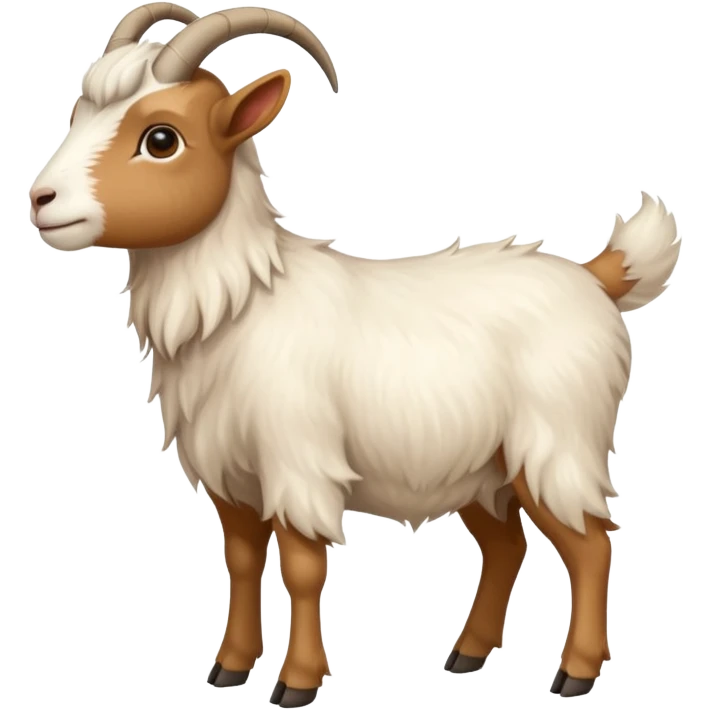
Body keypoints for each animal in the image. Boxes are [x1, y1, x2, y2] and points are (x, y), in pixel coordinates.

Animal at [28, 3, 682, 705]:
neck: (244, 300)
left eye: (160, 139)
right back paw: (467, 654)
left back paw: (575, 673)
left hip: (557, 443)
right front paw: (228, 667)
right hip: (485, 466)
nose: (41, 200)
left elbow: (303, 568)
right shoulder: (231, 475)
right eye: (78, 114)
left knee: (589, 545)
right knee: (507, 546)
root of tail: (596, 277)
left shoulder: (298, 464)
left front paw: (296, 682)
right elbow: (242, 562)